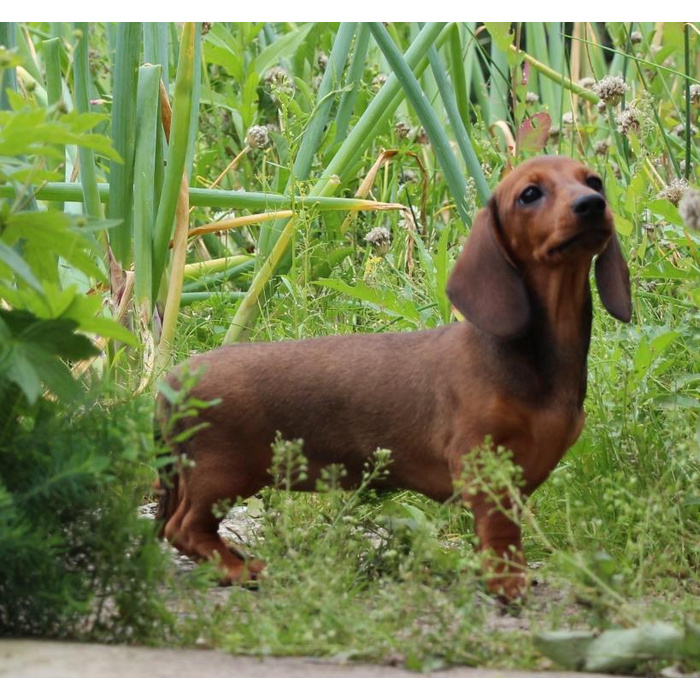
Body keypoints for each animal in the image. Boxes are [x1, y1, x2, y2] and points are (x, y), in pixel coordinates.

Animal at [156, 157, 632, 600]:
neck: (536, 358)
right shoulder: (483, 466)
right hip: (223, 473)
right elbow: (500, 533)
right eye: (530, 194)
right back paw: (237, 570)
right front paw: (506, 583)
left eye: (594, 181)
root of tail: (171, 382)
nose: (592, 204)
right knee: (184, 528)